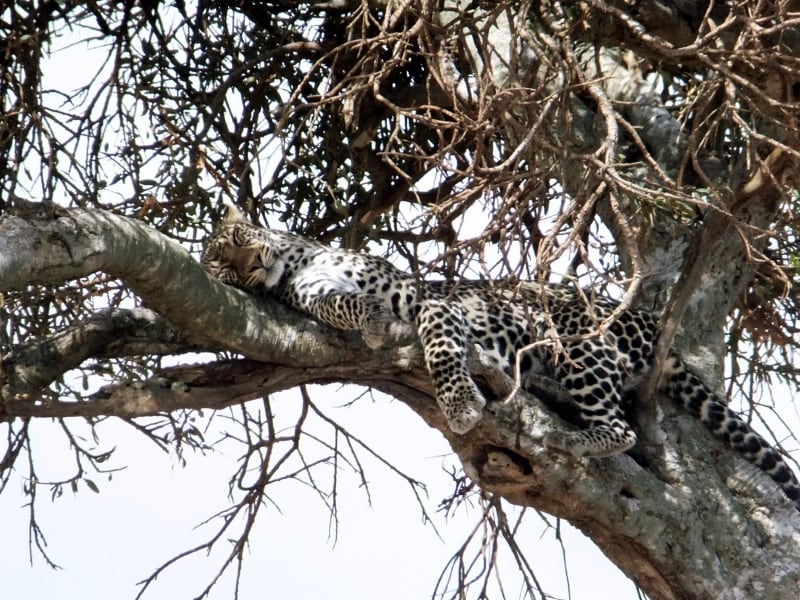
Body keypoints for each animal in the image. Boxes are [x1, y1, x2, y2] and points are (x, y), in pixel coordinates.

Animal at [201, 205, 800, 511]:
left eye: (238, 237)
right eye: (224, 270)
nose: (252, 265)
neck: (302, 261)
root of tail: (654, 326)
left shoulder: (430, 302)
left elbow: (441, 345)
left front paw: (460, 406)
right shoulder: (316, 299)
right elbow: (342, 304)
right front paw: (369, 319)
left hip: (576, 335)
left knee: (620, 428)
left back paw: (572, 438)